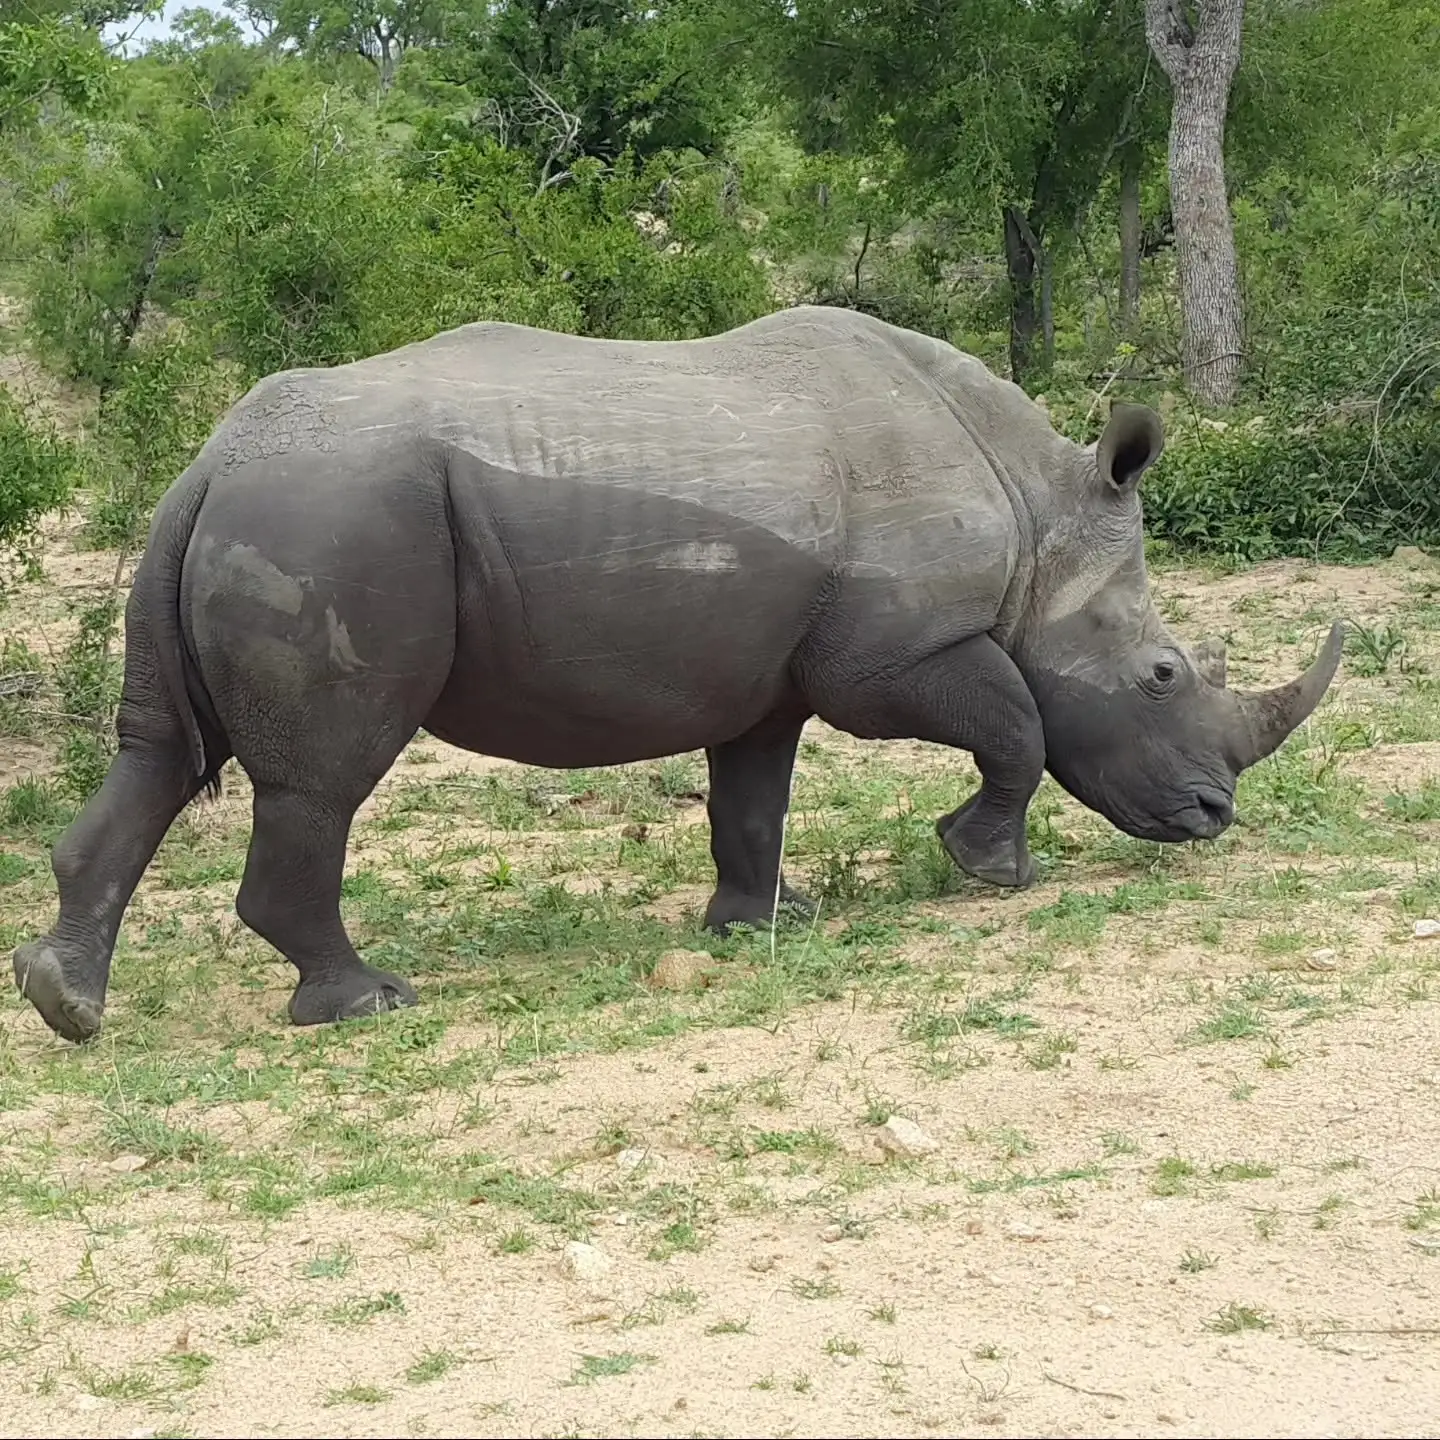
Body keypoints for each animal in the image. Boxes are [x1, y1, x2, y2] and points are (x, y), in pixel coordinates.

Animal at [12, 305, 1343, 1043]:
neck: (1040, 517)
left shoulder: (772, 674)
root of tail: (207, 461)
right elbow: (1015, 719)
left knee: (159, 754)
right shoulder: (890, 653)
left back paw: (65, 1003)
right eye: (1164, 674)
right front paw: (990, 871)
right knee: (323, 783)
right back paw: (368, 1006)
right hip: (334, 523)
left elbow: (753, 794)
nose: (1213, 817)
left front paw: (764, 926)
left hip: (256, 516)